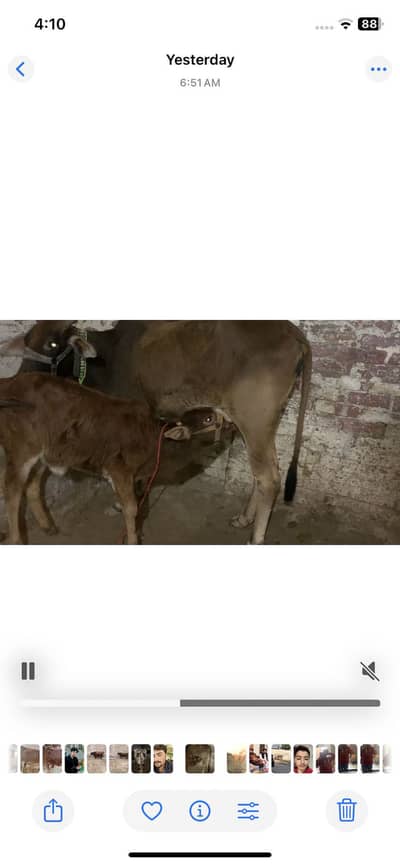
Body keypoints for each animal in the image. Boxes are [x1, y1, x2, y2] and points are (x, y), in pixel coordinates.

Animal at [2, 320, 312, 544]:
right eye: (27, 341)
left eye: (52, 344)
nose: (20, 377)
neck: (108, 357)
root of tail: (294, 333)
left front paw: (122, 507)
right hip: (260, 425)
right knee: (264, 474)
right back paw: (244, 518)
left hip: (254, 420)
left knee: (269, 479)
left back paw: (255, 538)